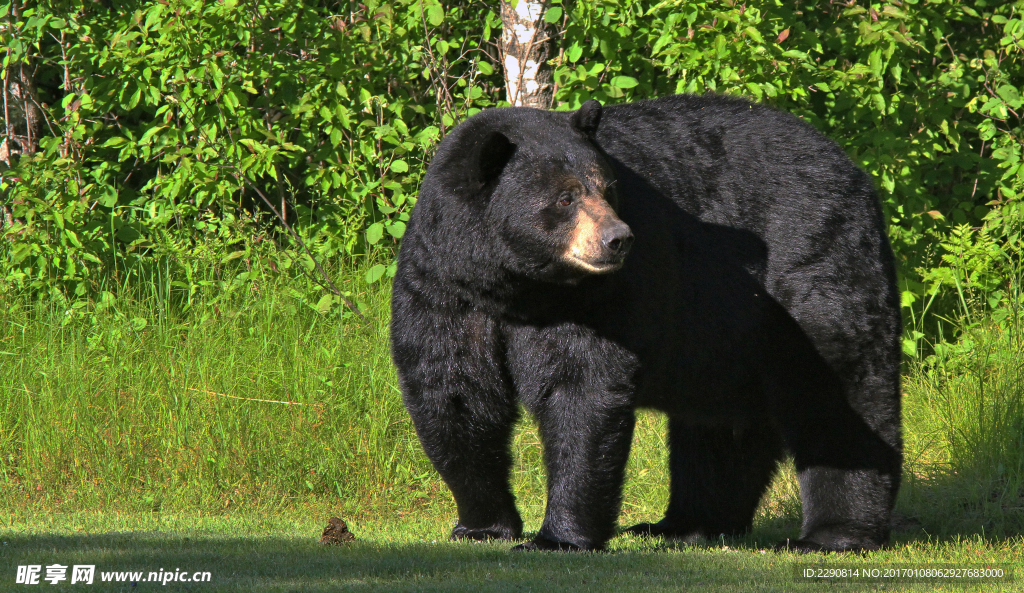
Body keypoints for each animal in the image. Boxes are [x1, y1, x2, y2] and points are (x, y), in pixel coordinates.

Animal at [390, 94, 902, 553]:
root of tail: (854, 168)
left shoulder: (592, 300)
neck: (512, 285)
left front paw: (558, 538)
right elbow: (454, 391)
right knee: (719, 422)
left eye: (606, 188)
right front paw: (481, 525)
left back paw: (834, 534)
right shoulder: (442, 289)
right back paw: (687, 525)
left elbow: (579, 389)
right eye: (565, 197)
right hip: (725, 326)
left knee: (838, 390)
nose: (617, 239)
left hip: (816, 261)